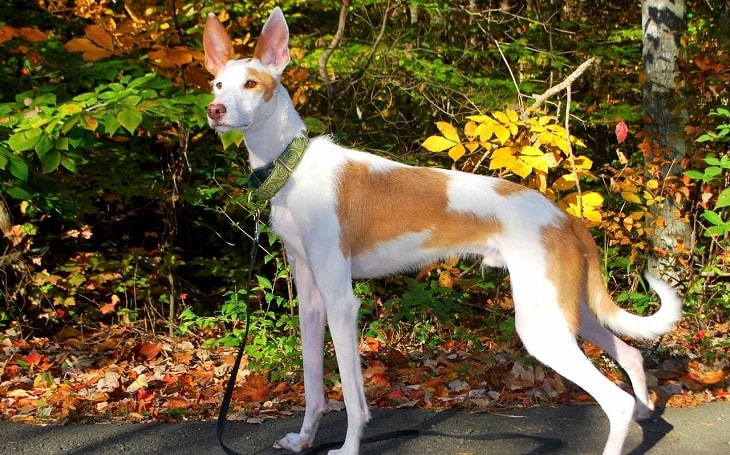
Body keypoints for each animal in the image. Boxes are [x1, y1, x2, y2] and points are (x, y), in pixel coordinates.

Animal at [202, 8, 680, 455]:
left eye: (251, 84)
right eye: (217, 85)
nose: (215, 111)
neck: (293, 165)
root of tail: (565, 219)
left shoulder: (342, 302)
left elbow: (354, 399)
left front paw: (349, 447)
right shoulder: (311, 299)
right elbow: (314, 387)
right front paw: (304, 440)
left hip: (541, 324)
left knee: (615, 401)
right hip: (568, 309)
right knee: (631, 354)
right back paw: (644, 408)